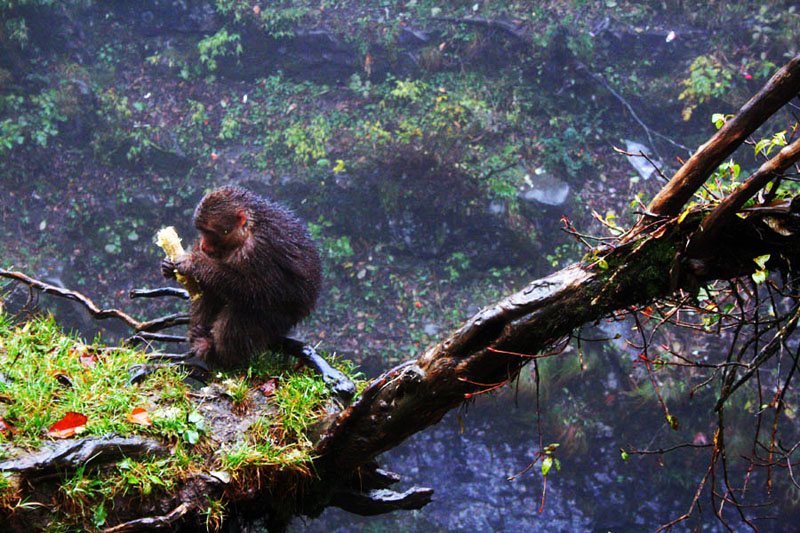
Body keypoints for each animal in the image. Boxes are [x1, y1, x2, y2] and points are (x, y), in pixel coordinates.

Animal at [159, 185, 354, 396]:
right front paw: (169, 266)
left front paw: (196, 263)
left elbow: (258, 291)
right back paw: (200, 333)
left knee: (243, 313)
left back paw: (217, 355)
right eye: (201, 232)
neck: (246, 231)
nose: (203, 245)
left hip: (282, 319)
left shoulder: (258, 249)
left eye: (210, 232)